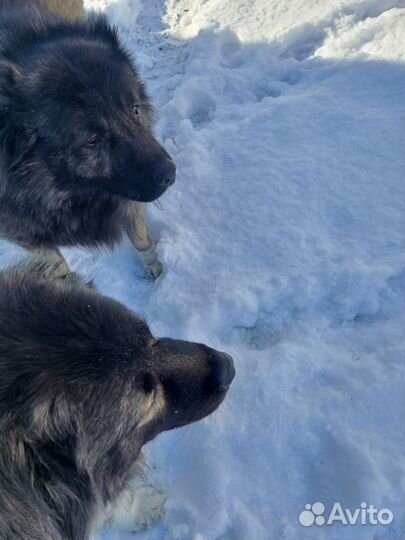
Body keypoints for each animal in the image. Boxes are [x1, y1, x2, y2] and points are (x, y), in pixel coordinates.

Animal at [0, 3, 174, 282]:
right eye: (92, 141)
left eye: (135, 110)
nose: (170, 174)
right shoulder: (24, 234)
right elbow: (57, 266)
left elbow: (139, 236)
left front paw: (154, 267)